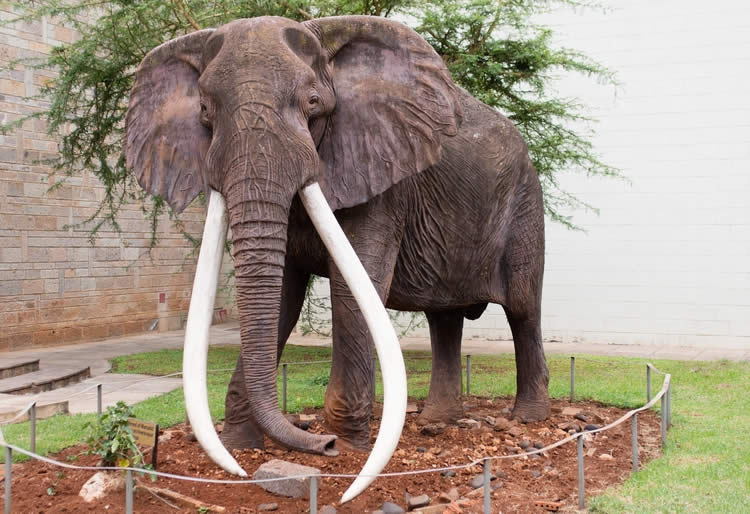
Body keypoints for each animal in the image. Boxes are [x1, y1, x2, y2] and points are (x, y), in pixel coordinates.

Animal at [125, 15, 548, 500]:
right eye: (206, 113)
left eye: (312, 103)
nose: (320, 444)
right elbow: (282, 299)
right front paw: (239, 444)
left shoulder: (381, 172)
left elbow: (353, 291)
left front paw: (345, 446)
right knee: (444, 319)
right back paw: (436, 421)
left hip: (526, 202)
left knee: (522, 310)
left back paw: (528, 418)